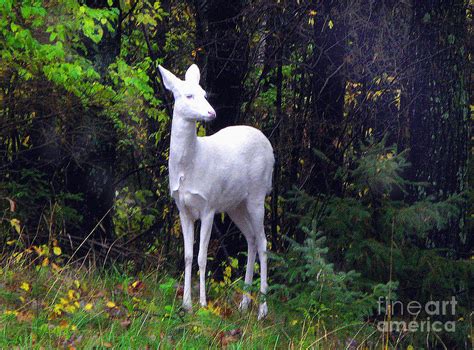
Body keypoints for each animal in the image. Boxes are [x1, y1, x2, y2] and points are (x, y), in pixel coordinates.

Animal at [158, 63, 274, 320]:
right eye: (189, 95)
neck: (189, 166)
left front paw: (202, 304)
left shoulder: (208, 205)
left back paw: (262, 310)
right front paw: (186, 304)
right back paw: (244, 304)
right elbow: (188, 255)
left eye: (204, 93)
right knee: (251, 239)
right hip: (235, 205)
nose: (211, 113)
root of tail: (271, 150)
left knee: (263, 243)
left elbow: (202, 257)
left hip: (257, 194)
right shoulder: (183, 209)